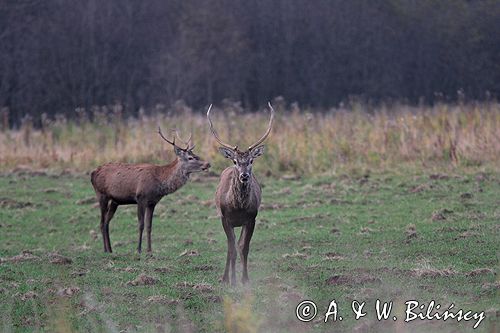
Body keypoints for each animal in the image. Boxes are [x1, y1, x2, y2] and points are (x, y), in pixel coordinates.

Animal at [208, 102, 278, 284]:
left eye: (251, 160)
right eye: (235, 161)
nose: (244, 176)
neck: (238, 207)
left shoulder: (251, 218)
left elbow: (243, 247)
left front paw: (245, 279)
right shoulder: (225, 218)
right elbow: (231, 248)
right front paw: (231, 280)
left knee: (237, 245)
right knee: (230, 246)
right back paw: (226, 277)